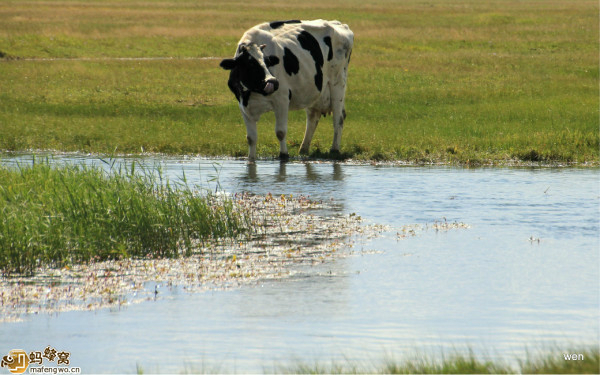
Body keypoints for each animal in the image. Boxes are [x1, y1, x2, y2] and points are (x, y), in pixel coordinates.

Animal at [219, 19, 352, 162]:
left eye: (268, 61)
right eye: (250, 64)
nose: (272, 82)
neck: (254, 92)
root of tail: (337, 23)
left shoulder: (282, 99)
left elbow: (281, 132)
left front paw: (284, 155)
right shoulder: (243, 106)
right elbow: (251, 138)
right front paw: (251, 159)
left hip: (337, 83)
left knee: (338, 118)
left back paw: (334, 149)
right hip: (313, 90)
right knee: (312, 117)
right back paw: (304, 149)